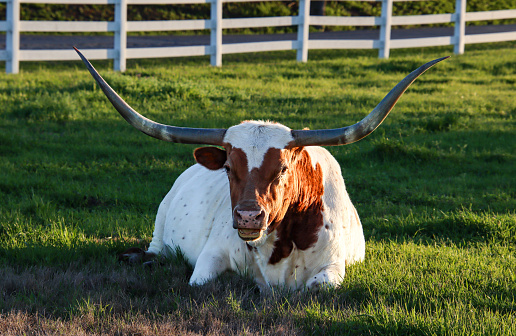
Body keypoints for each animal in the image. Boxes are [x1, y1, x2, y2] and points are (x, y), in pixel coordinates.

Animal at [75, 48, 448, 290]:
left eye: (282, 169)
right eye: (227, 168)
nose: (248, 217)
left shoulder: (333, 266)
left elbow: (319, 287)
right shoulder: (209, 257)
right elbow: (201, 282)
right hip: (160, 223)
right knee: (155, 251)